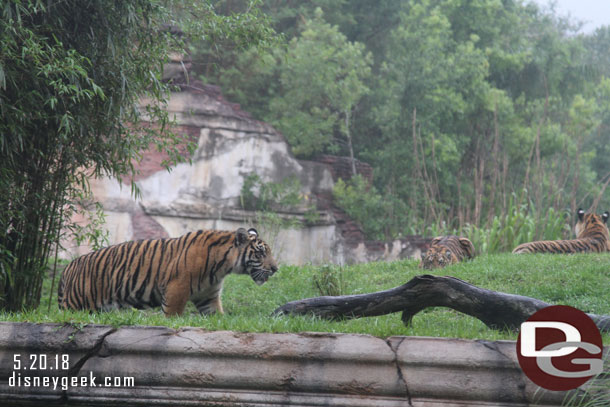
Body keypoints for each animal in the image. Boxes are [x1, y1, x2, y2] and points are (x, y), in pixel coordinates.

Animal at [57, 228, 276, 318]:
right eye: (261, 253)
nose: (276, 269)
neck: (222, 266)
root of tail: (68, 267)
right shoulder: (176, 289)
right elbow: (172, 315)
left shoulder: (209, 297)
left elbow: (218, 317)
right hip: (75, 305)